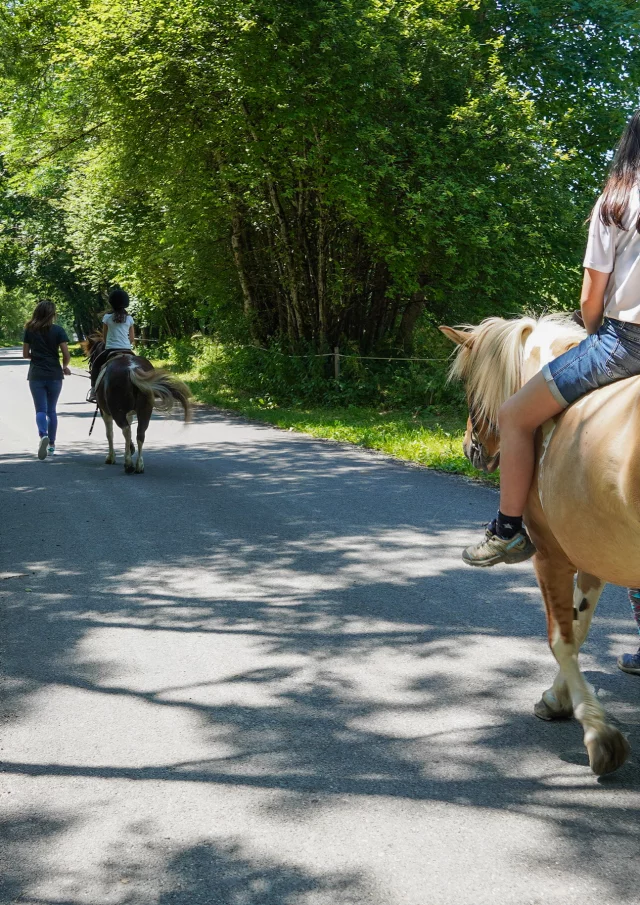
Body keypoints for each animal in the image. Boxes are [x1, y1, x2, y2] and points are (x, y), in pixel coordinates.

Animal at [81, 334, 190, 474]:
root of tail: (132, 369)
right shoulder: (130, 412)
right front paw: (130, 449)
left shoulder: (105, 412)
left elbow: (109, 433)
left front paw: (111, 457)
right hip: (145, 410)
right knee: (140, 433)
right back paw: (139, 465)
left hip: (117, 411)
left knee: (126, 430)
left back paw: (128, 464)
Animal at [444, 316, 636, 776]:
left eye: (470, 387)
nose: (469, 448)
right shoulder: (592, 554)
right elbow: (579, 626)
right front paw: (557, 699)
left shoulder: (552, 555)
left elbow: (561, 639)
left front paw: (597, 734)